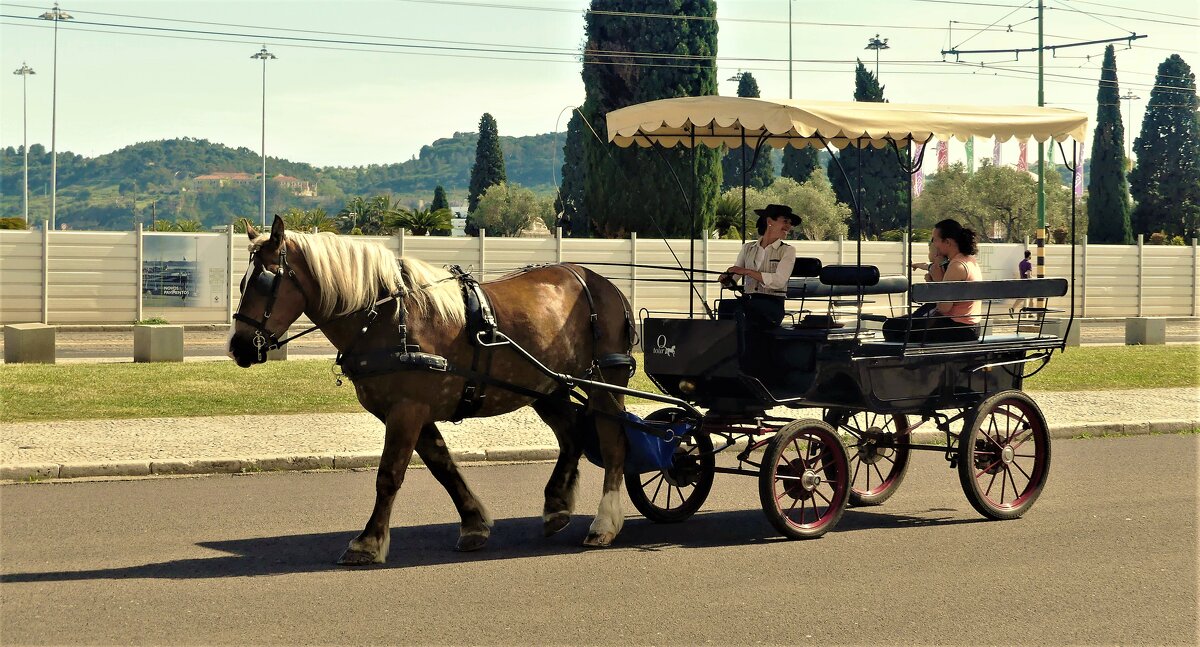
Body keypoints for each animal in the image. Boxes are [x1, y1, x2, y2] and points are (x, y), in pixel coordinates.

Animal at [226, 214, 638, 564]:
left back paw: (604, 521)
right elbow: (443, 466)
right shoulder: (412, 413)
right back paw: (556, 506)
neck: (387, 317)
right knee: (571, 436)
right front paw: (473, 524)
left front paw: (368, 542)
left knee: (613, 440)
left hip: (604, 382)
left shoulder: (407, 410)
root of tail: (600, 282)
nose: (238, 346)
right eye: (243, 282)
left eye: (264, 282)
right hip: (547, 386)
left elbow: (389, 474)